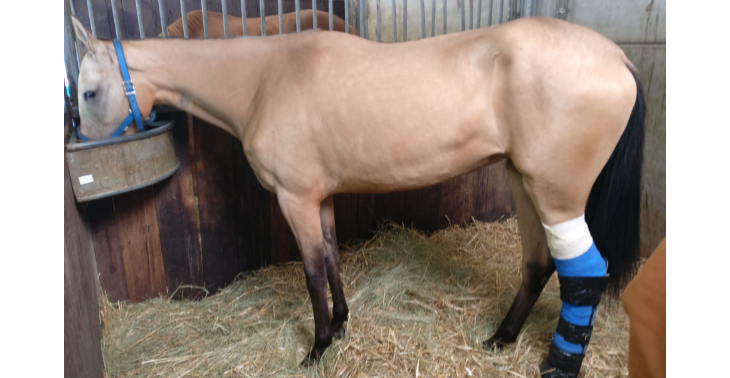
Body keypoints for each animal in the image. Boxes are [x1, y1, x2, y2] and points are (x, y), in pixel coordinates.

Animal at [71, 14, 644, 376]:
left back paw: (556, 363)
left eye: (89, 92)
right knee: (538, 264)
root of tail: (617, 57)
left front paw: (318, 347)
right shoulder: (319, 198)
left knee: (585, 272)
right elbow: (330, 257)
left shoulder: (296, 199)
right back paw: (501, 339)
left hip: (556, 195)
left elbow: (310, 272)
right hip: (524, 185)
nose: (85, 156)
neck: (265, 79)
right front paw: (343, 325)